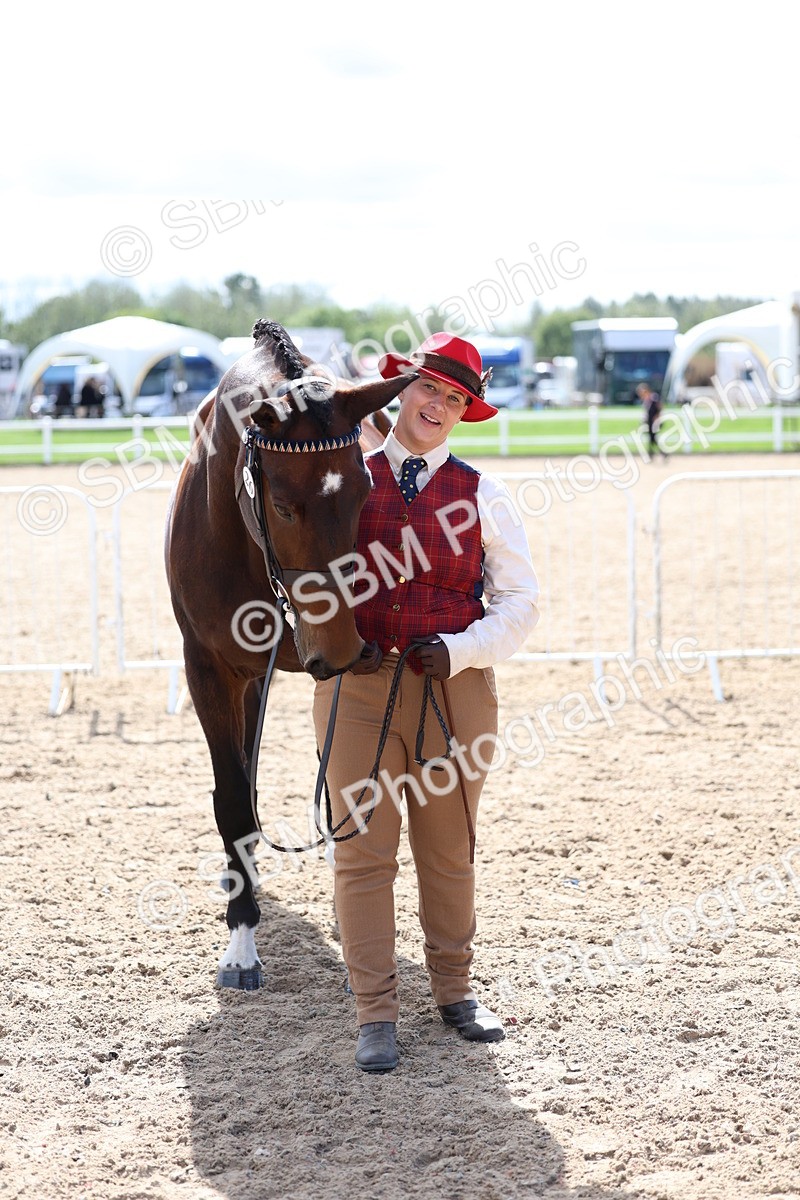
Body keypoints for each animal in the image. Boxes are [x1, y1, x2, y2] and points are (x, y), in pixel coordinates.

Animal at [165, 319, 408, 989]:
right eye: (281, 505)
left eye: (366, 489)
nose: (345, 647)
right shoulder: (210, 672)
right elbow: (232, 798)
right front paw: (241, 942)